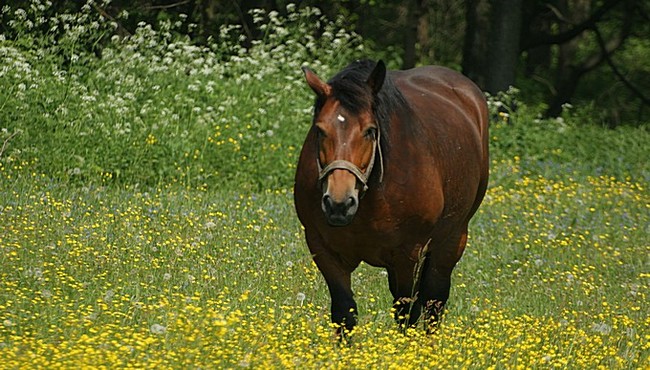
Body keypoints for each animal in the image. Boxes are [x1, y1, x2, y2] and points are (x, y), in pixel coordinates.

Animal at [294, 60, 486, 332]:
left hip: (451, 241)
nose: (338, 204)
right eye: (320, 130)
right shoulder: (323, 249)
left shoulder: (409, 253)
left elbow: (408, 313)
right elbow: (344, 312)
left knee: (433, 303)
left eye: (370, 131)